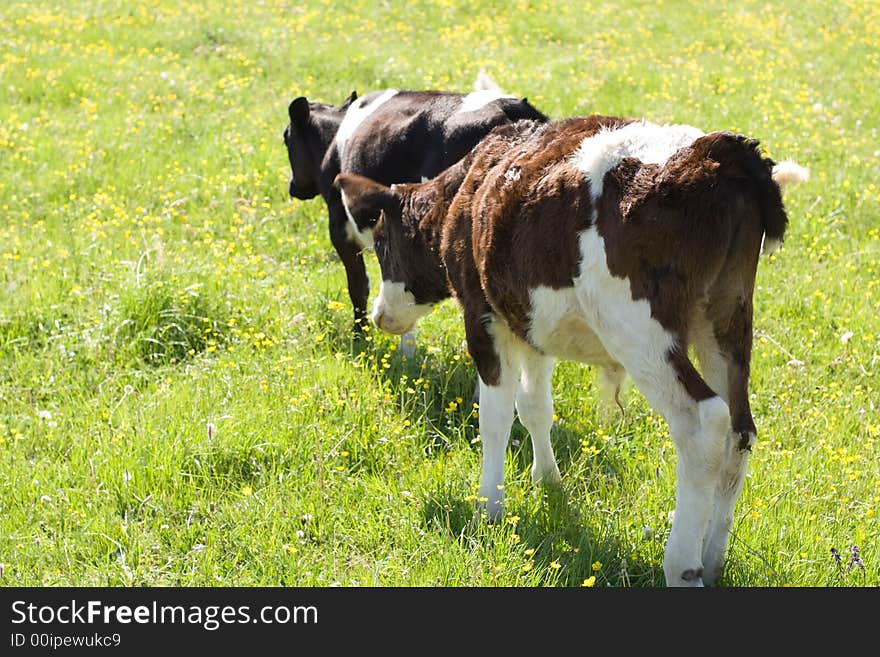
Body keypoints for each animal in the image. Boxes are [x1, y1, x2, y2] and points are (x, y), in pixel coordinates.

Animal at [336, 114, 812, 584]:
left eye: (381, 244)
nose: (380, 316)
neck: (468, 187)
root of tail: (718, 150)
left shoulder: (484, 318)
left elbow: (494, 419)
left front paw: (489, 508)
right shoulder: (528, 323)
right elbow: (534, 407)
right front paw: (547, 481)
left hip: (638, 329)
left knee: (703, 421)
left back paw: (682, 563)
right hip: (727, 320)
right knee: (739, 430)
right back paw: (712, 559)